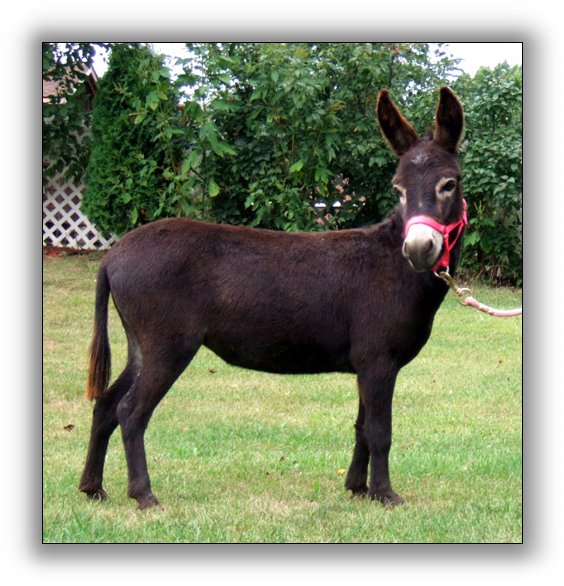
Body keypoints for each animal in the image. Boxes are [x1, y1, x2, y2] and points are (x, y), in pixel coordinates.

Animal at [79, 87, 466, 509]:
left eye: (449, 184)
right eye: (398, 190)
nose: (418, 249)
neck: (395, 264)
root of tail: (113, 255)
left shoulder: (369, 363)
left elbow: (362, 426)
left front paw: (357, 488)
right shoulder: (379, 361)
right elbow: (380, 431)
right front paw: (384, 494)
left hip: (141, 345)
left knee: (106, 405)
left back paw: (92, 487)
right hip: (168, 345)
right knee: (131, 411)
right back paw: (144, 494)